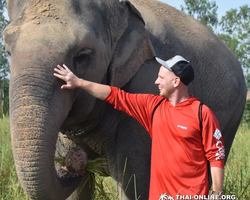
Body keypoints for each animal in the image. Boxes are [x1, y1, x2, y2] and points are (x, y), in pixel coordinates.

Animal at [2, 0, 247, 199]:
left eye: (83, 55)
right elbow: (76, 191)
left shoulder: (144, 86)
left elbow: (133, 182)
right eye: (8, 52)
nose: (75, 160)